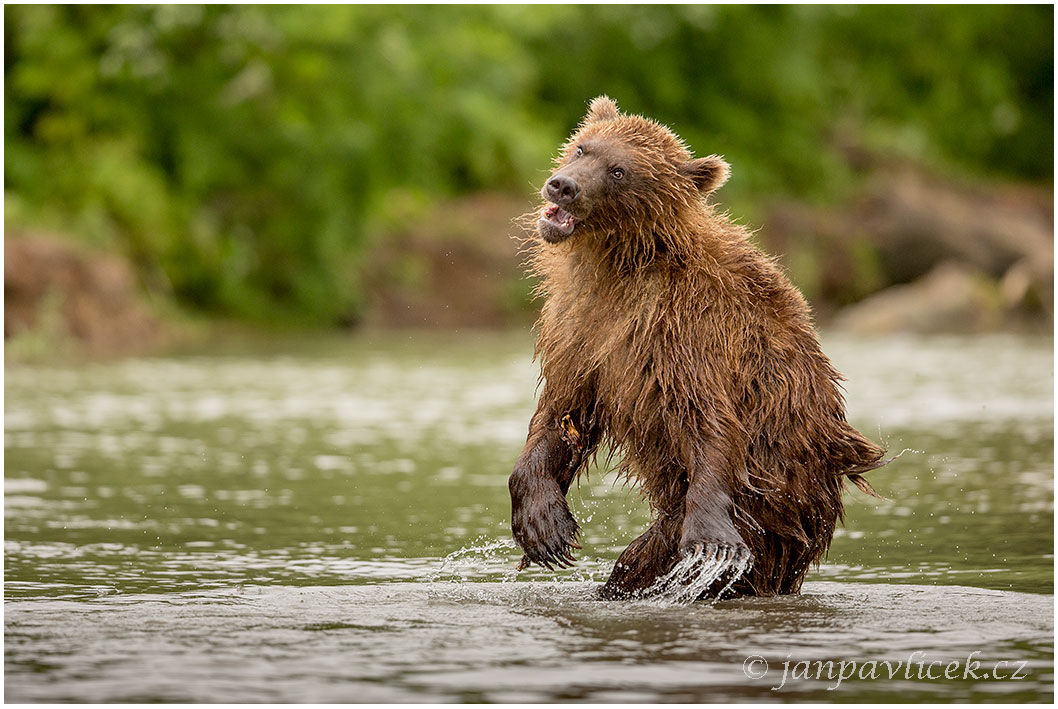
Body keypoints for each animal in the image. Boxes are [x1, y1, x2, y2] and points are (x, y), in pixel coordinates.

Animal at [505, 97, 884, 601]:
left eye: (620, 171)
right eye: (582, 148)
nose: (564, 185)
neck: (618, 263)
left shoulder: (684, 329)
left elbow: (707, 417)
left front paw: (710, 538)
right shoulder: (580, 328)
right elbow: (563, 413)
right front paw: (543, 524)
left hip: (770, 506)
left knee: (650, 559)